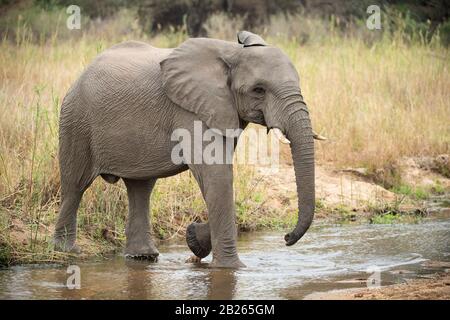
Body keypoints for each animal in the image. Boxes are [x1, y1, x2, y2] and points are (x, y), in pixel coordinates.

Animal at [53, 31, 316, 268]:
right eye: (258, 90)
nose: (286, 238)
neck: (231, 52)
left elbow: (218, 178)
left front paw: (194, 240)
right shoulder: (191, 110)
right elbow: (217, 175)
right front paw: (230, 268)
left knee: (141, 187)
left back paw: (143, 257)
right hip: (76, 121)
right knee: (75, 185)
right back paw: (66, 252)